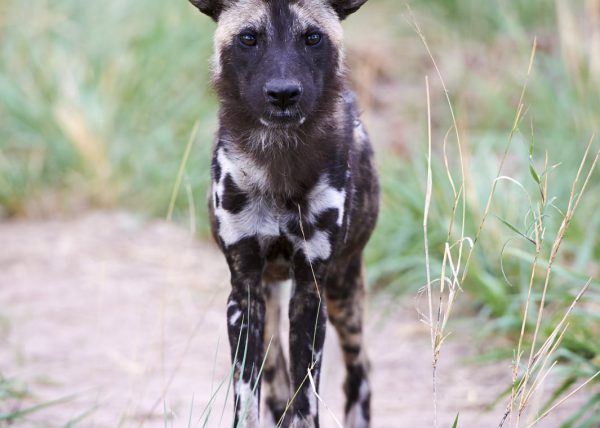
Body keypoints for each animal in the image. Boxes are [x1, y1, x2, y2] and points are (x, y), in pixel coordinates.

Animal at [190, 0, 378, 426]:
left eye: (312, 37)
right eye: (248, 38)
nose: (283, 93)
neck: (278, 160)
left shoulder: (311, 292)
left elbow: (305, 401)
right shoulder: (244, 295)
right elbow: (248, 399)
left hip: (343, 293)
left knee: (359, 374)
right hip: (271, 298)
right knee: (276, 386)